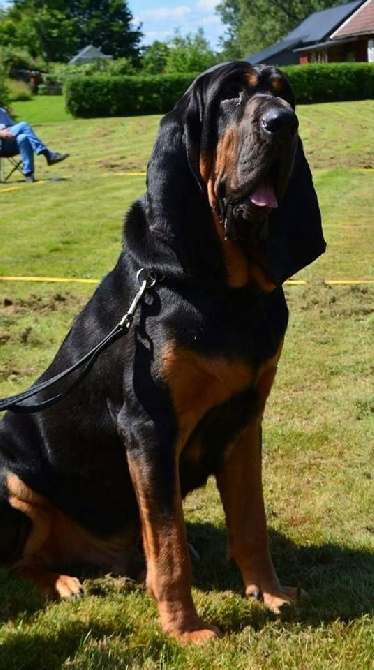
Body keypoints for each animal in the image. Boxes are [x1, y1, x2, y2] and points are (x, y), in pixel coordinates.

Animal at [0, 63, 324, 644]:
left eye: (283, 93)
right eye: (230, 96)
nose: (283, 123)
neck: (229, 291)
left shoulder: (246, 423)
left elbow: (252, 523)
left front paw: (271, 594)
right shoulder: (149, 428)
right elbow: (169, 546)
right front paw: (185, 629)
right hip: (8, 479)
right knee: (15, 563)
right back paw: (61, 582)